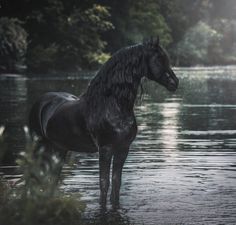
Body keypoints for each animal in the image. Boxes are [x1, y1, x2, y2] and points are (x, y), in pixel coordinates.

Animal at [28, 37, 178, 207]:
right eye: (159, 59)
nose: (175, 82)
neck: (111, 105)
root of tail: (42, 101)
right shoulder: (105, 150)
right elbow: (104, 183)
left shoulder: (123, 149)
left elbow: (116, 183)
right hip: (39, 148)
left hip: (59, 150)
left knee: (53, 178)